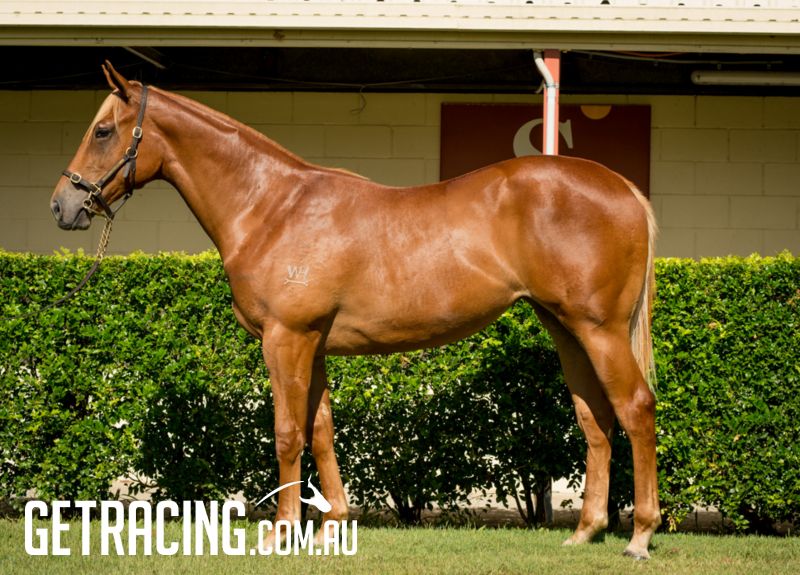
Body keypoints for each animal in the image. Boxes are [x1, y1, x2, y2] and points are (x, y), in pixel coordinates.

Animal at [51, 62, 660, 559]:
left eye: (102, 131)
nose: (63, 205)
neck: (272, 207)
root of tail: (623, 188)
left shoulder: (285, 337)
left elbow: (287, 432)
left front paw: (280, 533)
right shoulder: (312, 343)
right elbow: (320, 428)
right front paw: (330, 526)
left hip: (600, 330)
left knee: (635, 408)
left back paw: (639, 537)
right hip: (565, 328)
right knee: (596, 418)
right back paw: (584, 531)